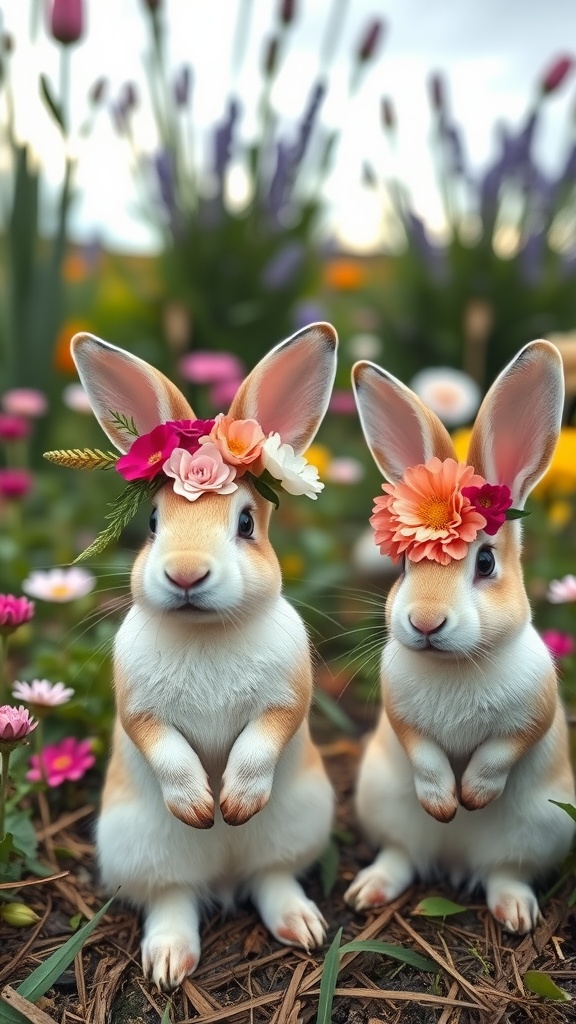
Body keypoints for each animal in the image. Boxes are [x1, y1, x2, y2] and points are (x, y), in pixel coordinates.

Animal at [72, 323, 338, 987]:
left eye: (245, 523)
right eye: (151, 521)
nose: (187, 574)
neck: (205, 631)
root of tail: (223, 875)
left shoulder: (286, 701)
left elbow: (261, 741)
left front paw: (234, 804)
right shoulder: (140, 711)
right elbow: (165, 749)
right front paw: (199, 806)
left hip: (299, 821)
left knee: (271, 877)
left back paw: (302, 927)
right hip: (139, 848)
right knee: (173, 898)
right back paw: (170, 962)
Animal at [344, 339, 573, 933]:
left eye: (486, 562)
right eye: (404, 563)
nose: (425, 623)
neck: (455, 663)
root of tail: (453, 861)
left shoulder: (532, 716)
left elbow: (499, 753)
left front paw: (471, 798)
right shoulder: (402, 719)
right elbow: (424, 754)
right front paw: (445, 806)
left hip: (540, 830)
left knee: (505, 873)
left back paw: (517, 914)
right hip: (383, 803)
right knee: (401, 855)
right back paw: (368, 891)